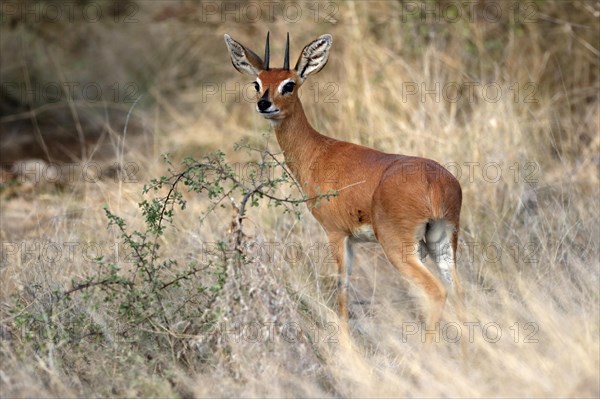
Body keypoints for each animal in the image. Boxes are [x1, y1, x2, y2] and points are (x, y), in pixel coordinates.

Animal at [225, 32, 464, 336]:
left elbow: (342, 291)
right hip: (441, 241)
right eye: (257, 83)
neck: (317, 152)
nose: (264, 104)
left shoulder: (337, 234)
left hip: (400, 247)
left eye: (289, 84)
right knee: (458, 291)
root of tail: (435, 182)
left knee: (435, 292)